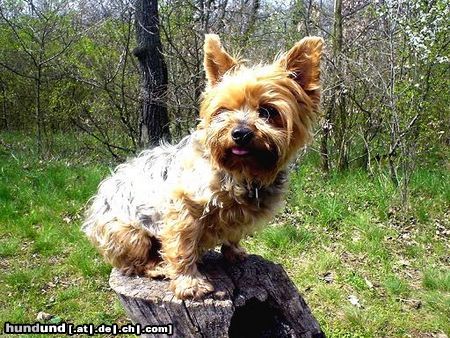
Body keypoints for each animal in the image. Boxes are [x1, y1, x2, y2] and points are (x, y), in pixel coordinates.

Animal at [81, 33, 324, 298]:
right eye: (223, 111)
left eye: (268, 111)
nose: (240, 133)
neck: (240, 173)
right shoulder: (183, 208)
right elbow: (182, 245)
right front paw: (190, 283)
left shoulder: (237, 218)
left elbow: (233, 234)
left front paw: (234, 252)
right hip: (129, 233)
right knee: (132, 263)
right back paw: (157, 267)